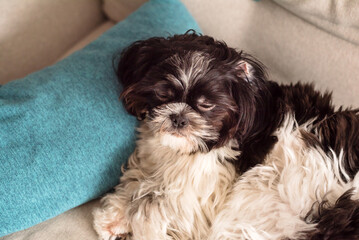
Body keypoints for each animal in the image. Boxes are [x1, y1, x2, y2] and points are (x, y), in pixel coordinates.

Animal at [92, 31, 359, 238]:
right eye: (164, 94)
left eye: (206, 104)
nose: (178, 117)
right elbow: (140, 178)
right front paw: (114, 217)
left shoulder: (206, 189)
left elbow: (153, 199)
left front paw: (136, 219)